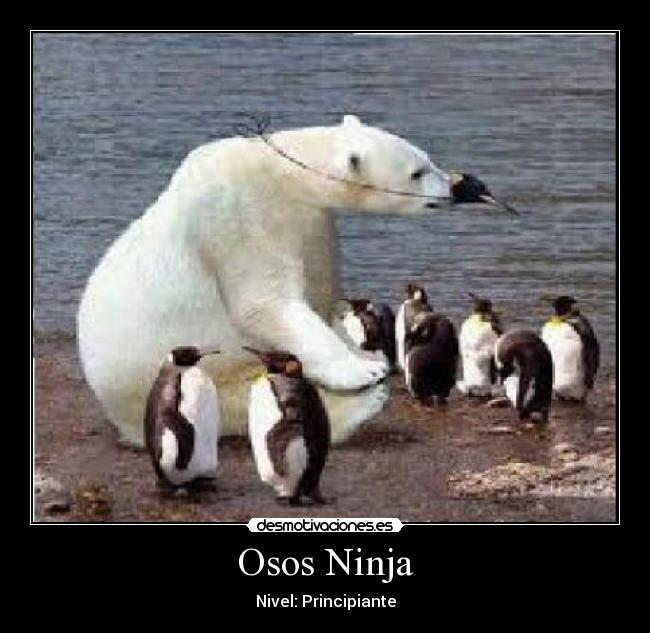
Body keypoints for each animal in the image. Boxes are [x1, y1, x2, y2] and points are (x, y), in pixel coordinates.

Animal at [77, 114, 451, 447]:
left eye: (428, 158)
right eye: (417, 172)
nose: (453, 188)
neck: (276, 171)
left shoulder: (310, 223)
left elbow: (320, 289)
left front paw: (369, 356)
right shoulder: (240, 216)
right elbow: (266, 303)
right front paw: (362, 370)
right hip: (178, 376)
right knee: (238, 401)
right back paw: (362, 407)